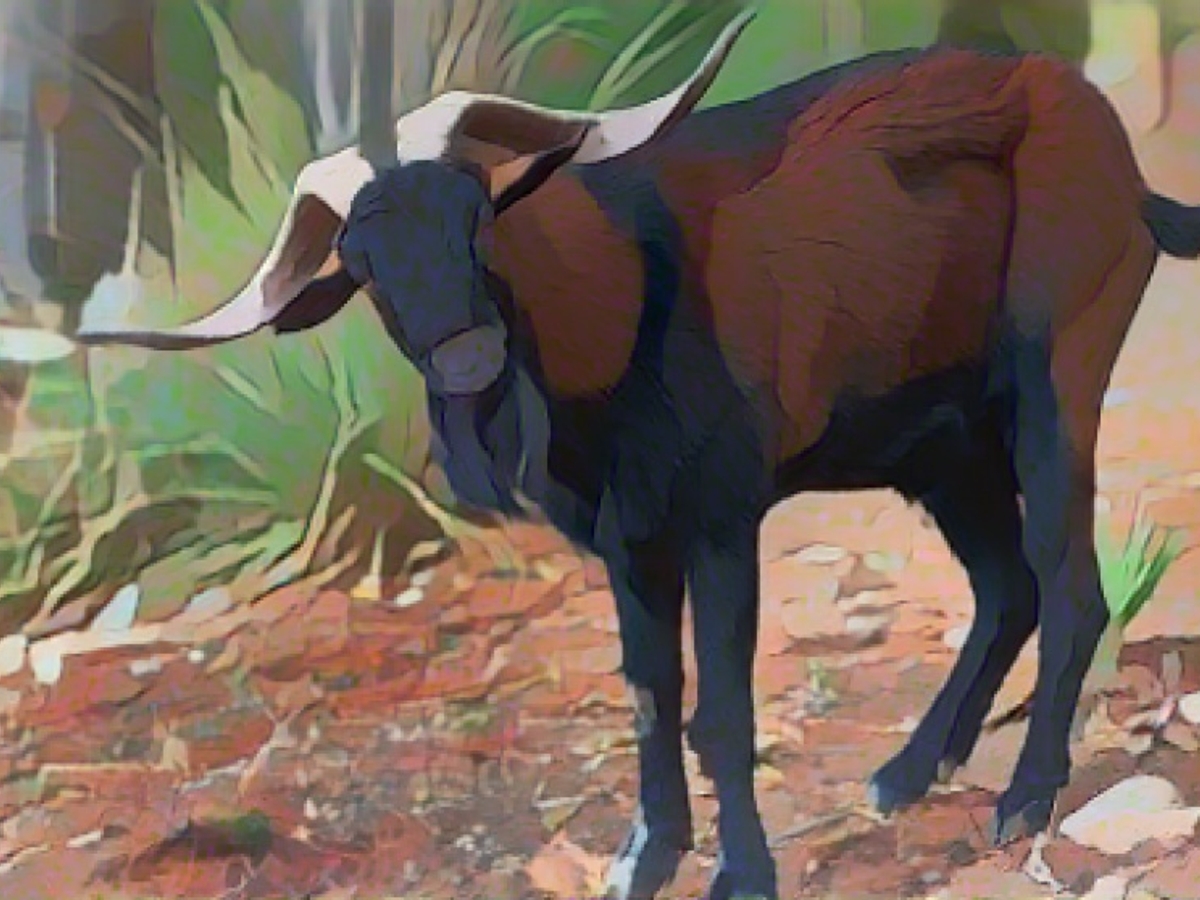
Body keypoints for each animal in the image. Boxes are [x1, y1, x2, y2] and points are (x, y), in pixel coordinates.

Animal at [79, 12, 1200, 900]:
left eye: (475, 212)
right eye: (359, 263)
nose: (469, 357)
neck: (619, 309)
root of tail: (1114, 150)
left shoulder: (721, 523)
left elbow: (723, 712)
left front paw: (742, 876)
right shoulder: (630, 547)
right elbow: (653, 697)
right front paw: (645, 861)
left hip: (1054, 379)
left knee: (1070, 585)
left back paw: (1025, 795)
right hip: (940, 446)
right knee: (1009, 586)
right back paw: (907, 773)